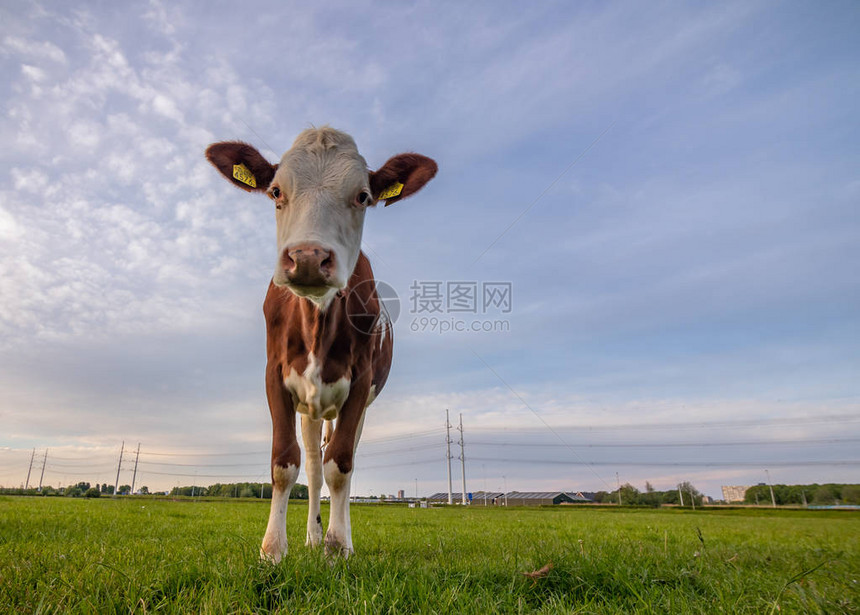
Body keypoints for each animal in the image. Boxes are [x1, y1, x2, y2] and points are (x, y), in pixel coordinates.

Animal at [204, 129, 434, 564]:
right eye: (276, 191)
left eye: (362, 196)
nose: (308, 257)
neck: (317, 320)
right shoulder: (275, 376)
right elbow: (284, 462)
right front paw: (274, 549)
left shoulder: (359, 384)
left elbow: (340, 465)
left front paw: (337, 546)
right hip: (310, 408)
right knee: (311, 465)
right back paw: (311, 536)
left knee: (339, 461)